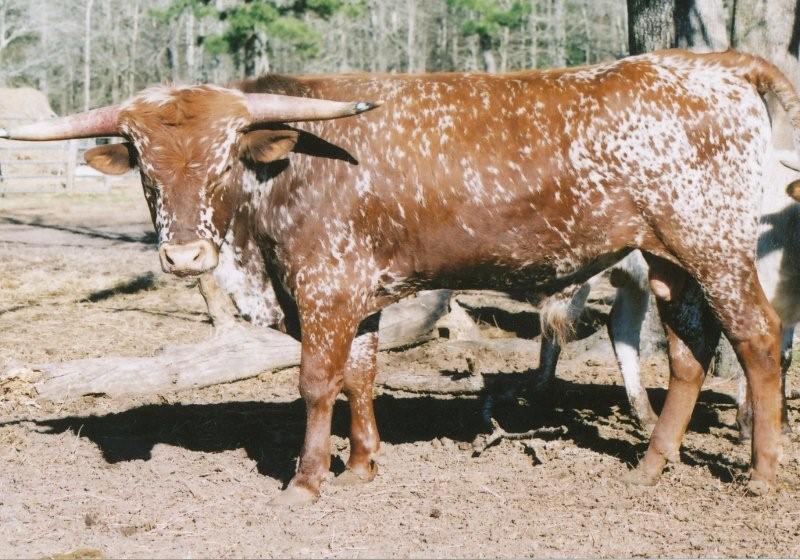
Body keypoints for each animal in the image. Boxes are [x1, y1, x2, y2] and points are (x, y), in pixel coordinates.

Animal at [535, 146, 800, 436]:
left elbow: (783, 357)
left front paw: (782, 422)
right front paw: (747, 421)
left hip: (634, 280)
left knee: (621, 326)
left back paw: (645, 414)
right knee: (558, 321)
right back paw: (542, 396)